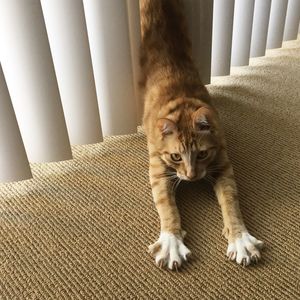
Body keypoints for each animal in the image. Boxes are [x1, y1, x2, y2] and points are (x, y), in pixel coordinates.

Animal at [139, 0, 264, 270]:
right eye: (176, 156)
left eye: (203, 154)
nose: (192, 176)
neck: (184, 106)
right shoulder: (158, 169)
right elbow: (167, 207)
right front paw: (171, 243)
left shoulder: (223, 165)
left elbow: (231, 203)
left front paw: (240, 240)